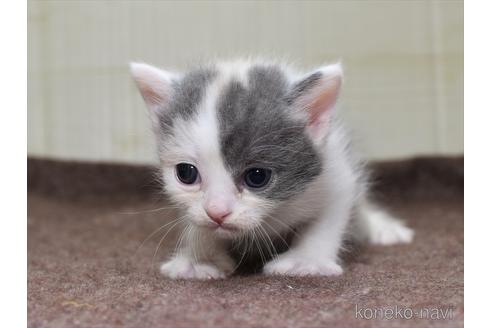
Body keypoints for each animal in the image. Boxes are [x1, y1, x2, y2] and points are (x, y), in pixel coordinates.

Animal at [129, 59, 414, 280]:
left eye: (257, 177)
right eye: (186, 174)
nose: (217, 212)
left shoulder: (336, 174)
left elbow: (328, 218)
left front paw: (306, 261)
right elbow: (198, 222)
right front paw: (200, 259)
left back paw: (382, 228)